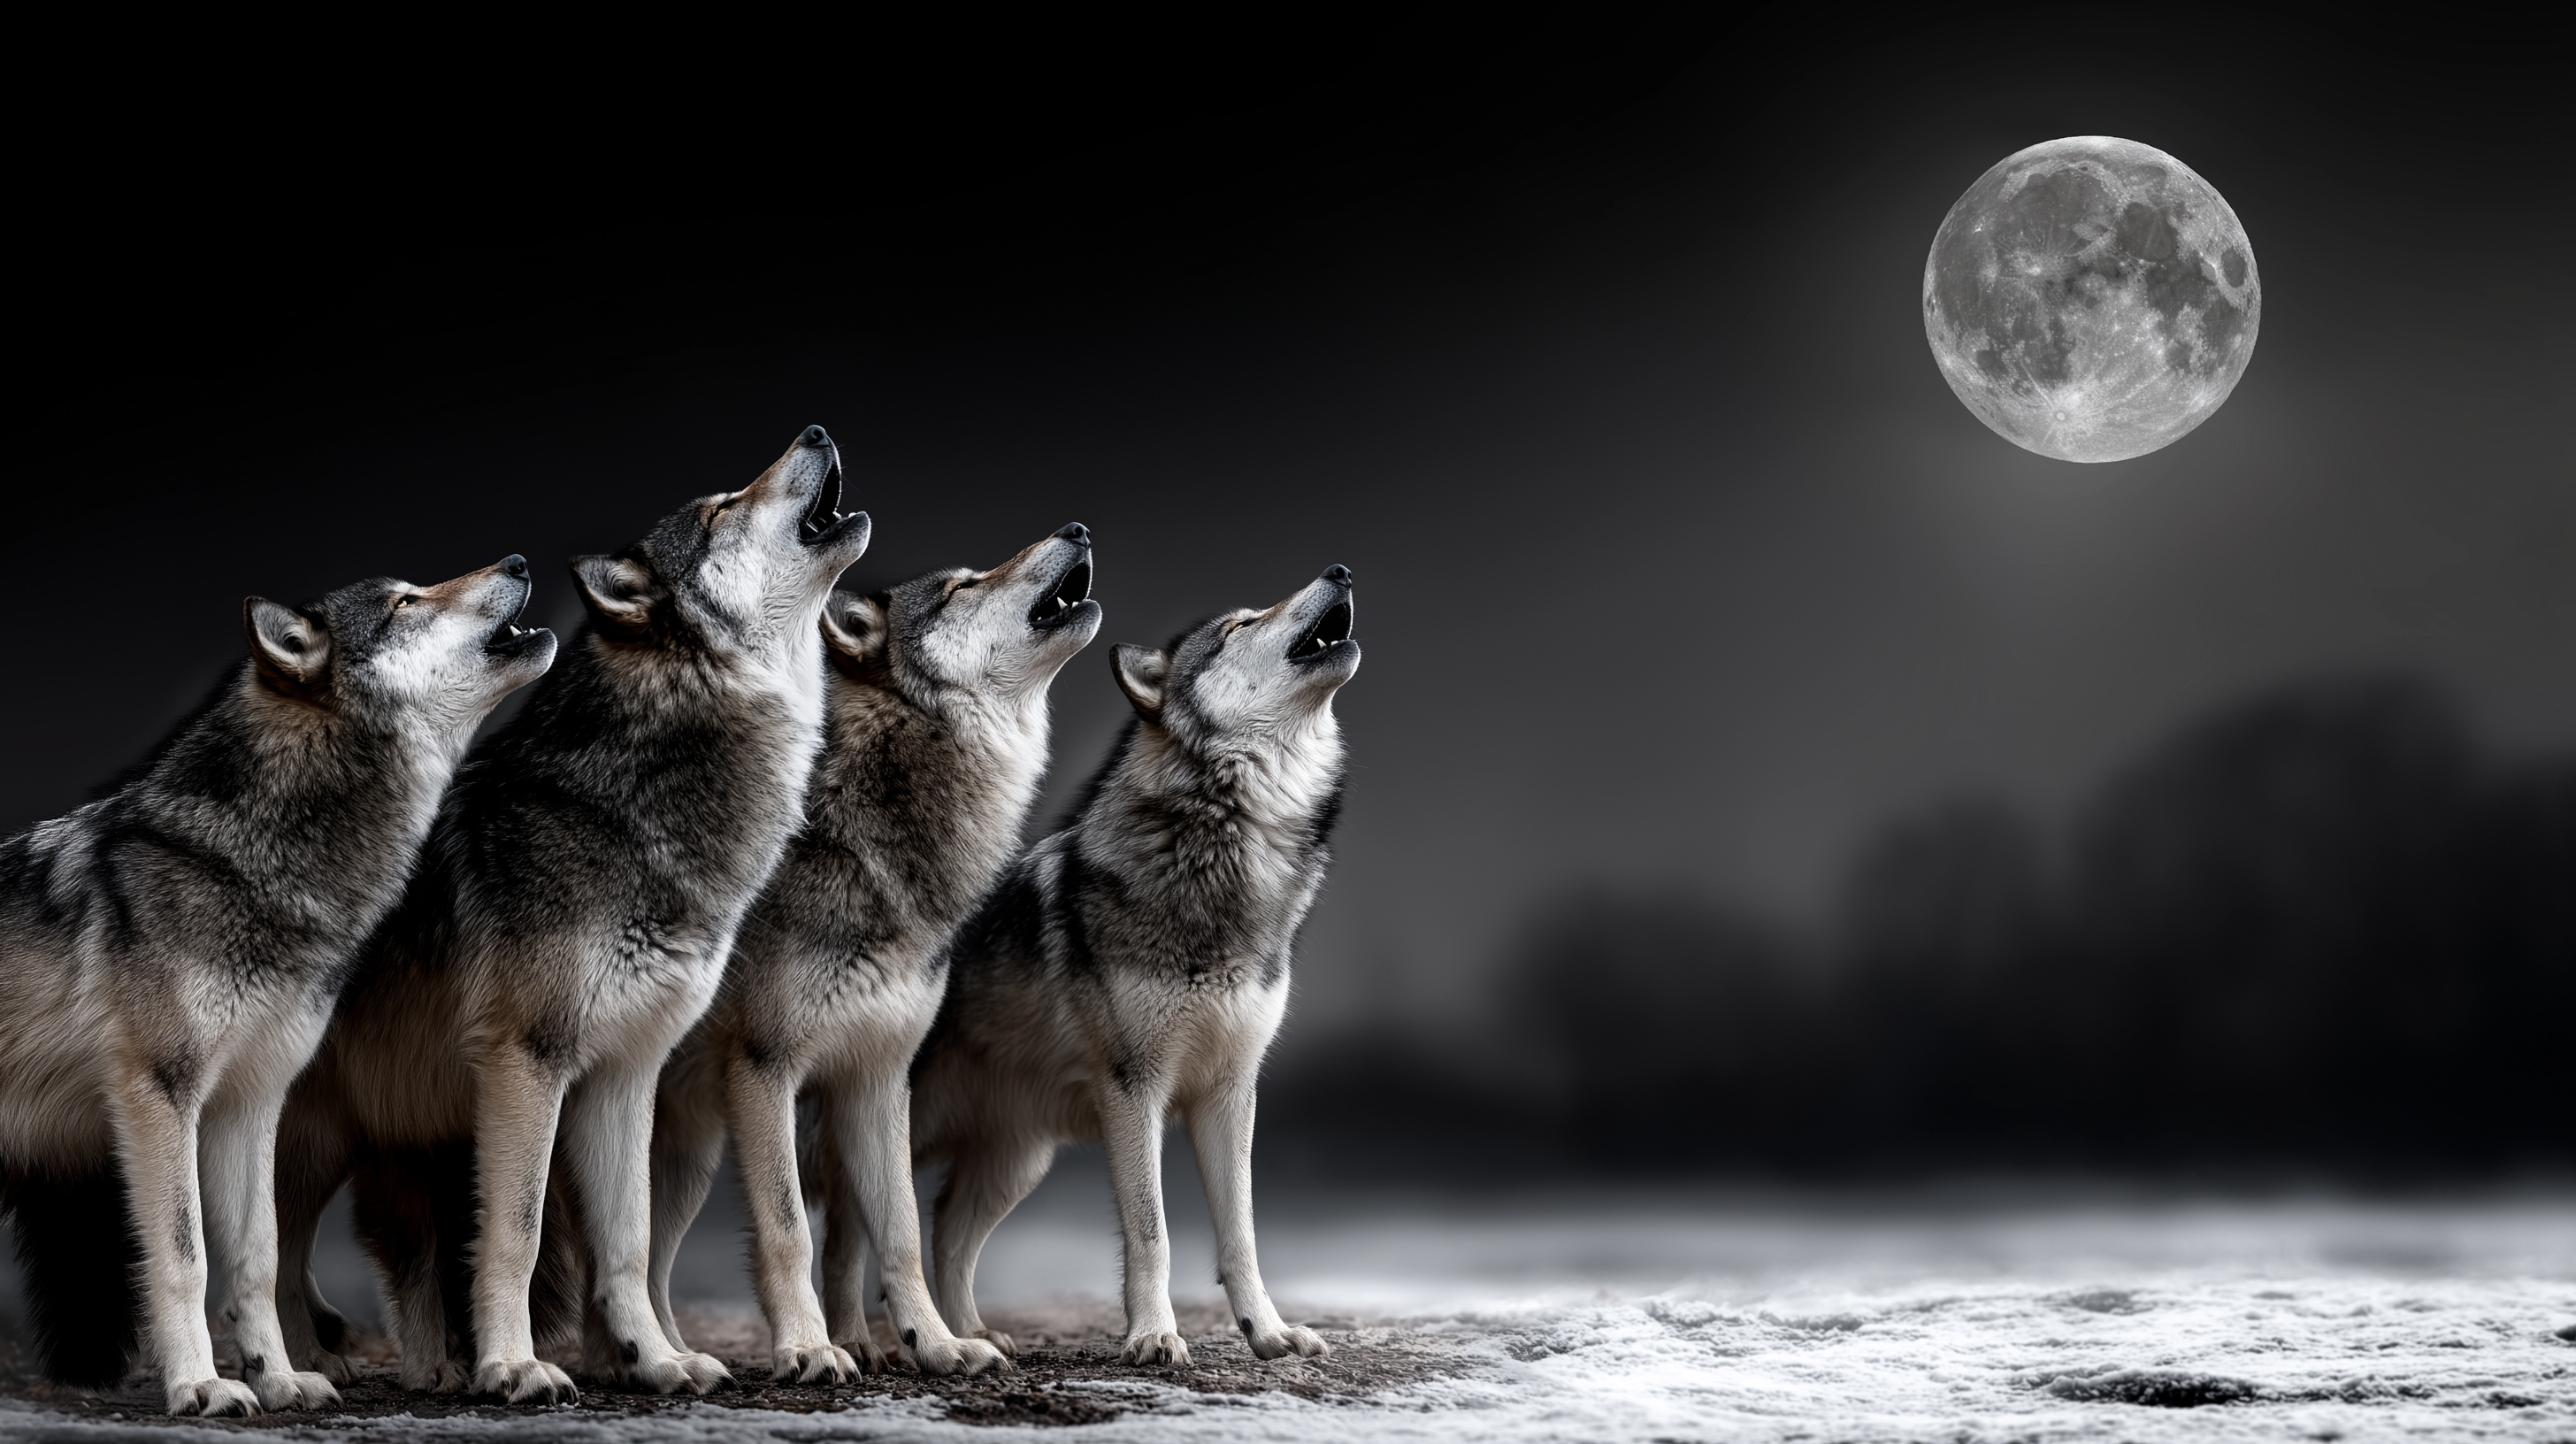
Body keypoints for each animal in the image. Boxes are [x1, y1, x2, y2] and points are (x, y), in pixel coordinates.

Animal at [0, 557, 554, 1416]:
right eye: (406, 602)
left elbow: (259, 1257)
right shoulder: (158, 1095)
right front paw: (200, 1386)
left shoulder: (252, 1101)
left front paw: (280, 1377)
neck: (250, 863)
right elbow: (185, 1257)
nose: (519, 563)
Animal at [273, 426, 870, 1403]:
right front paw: (514, 1366)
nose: (817, 432)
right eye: (720, 509)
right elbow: (515, 1233)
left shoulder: (625, 1073)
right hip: (309, 1136)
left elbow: (624, 1244)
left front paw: (655, 1360)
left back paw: (413, 1367)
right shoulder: (529, 1061)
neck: (634, 809)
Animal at [640, 523, 1100, 1383]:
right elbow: (788, 1228)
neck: (869, 843)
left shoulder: (879, 1080)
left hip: (685, 1158)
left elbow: (902, 1233)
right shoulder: (766, 1071)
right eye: (961, 586)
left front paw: (937, 1343)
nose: (1078, 529)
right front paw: (806, 1348)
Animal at [910, 564, 1357, 1368]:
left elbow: (1241, 1234)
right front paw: (1153, 1335)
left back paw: (970, 1333)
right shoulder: (1134, 1091)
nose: (1338, 570)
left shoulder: (1229, 1094)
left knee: (946, 1226)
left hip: (1016, 1161)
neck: (1225, 842)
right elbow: (1153, 1232)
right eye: (1241, 625)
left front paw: (1268, 1332)